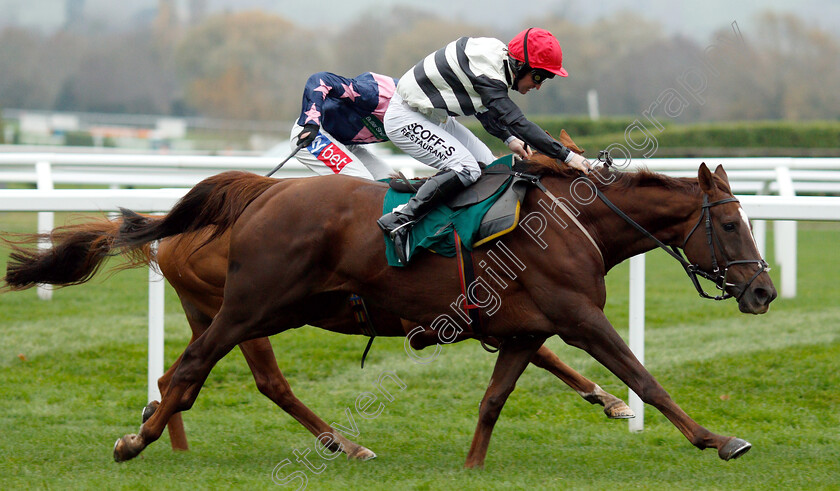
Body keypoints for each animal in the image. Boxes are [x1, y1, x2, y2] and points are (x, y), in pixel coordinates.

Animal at [1, 179, 632, 460]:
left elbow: (539, 350)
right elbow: (547, 345)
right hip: (247, 308)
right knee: (254, 379)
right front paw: (615, 398)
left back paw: (165, 434)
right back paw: (341, 443)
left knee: (177, 375)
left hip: (223, 310)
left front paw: (609, 399)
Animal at [93, 159, 776, 468]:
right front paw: (718, 439)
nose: (764, 293)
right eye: (730, 224)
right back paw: (134, 441)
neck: (573, 221)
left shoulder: (527, 330)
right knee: (194, 372)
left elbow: (494, 400)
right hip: (251, 305)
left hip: (267, 310)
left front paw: (472, 468)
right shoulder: (579, 317)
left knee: (189, 373)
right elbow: (644, 379)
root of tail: (265, 189)